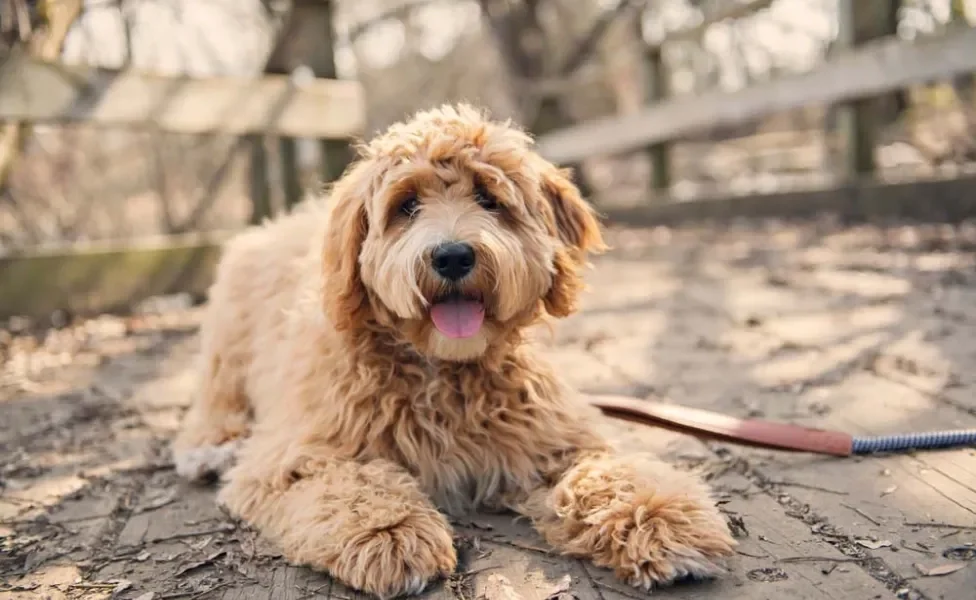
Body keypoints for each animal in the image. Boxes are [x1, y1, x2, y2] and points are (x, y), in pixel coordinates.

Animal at [172, 105, 736, 596]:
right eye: (406, 206)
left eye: (489, 198)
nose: (452, 255)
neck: (443, 368)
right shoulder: (290, 456)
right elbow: (346, 481)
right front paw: (390, 532)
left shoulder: (553, 438)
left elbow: (607, 471)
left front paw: (659, 516)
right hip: (228, 343)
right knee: (215, 399)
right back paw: (209, 447)